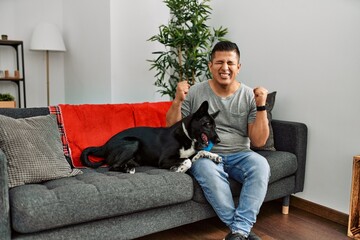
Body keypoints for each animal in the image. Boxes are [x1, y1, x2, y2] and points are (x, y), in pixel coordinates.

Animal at [81, 100, 221, 173]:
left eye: (215, 126)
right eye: (207, 124)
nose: (218, 140)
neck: (187, 136)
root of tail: (104, 146)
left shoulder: (190, 153)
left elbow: (199, 153)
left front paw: (214, 156)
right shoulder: (164, 160)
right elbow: (187, 161)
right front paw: (179, 168)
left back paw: (129, 166)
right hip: (133, 143)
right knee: (112, 166)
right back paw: (128, 169)